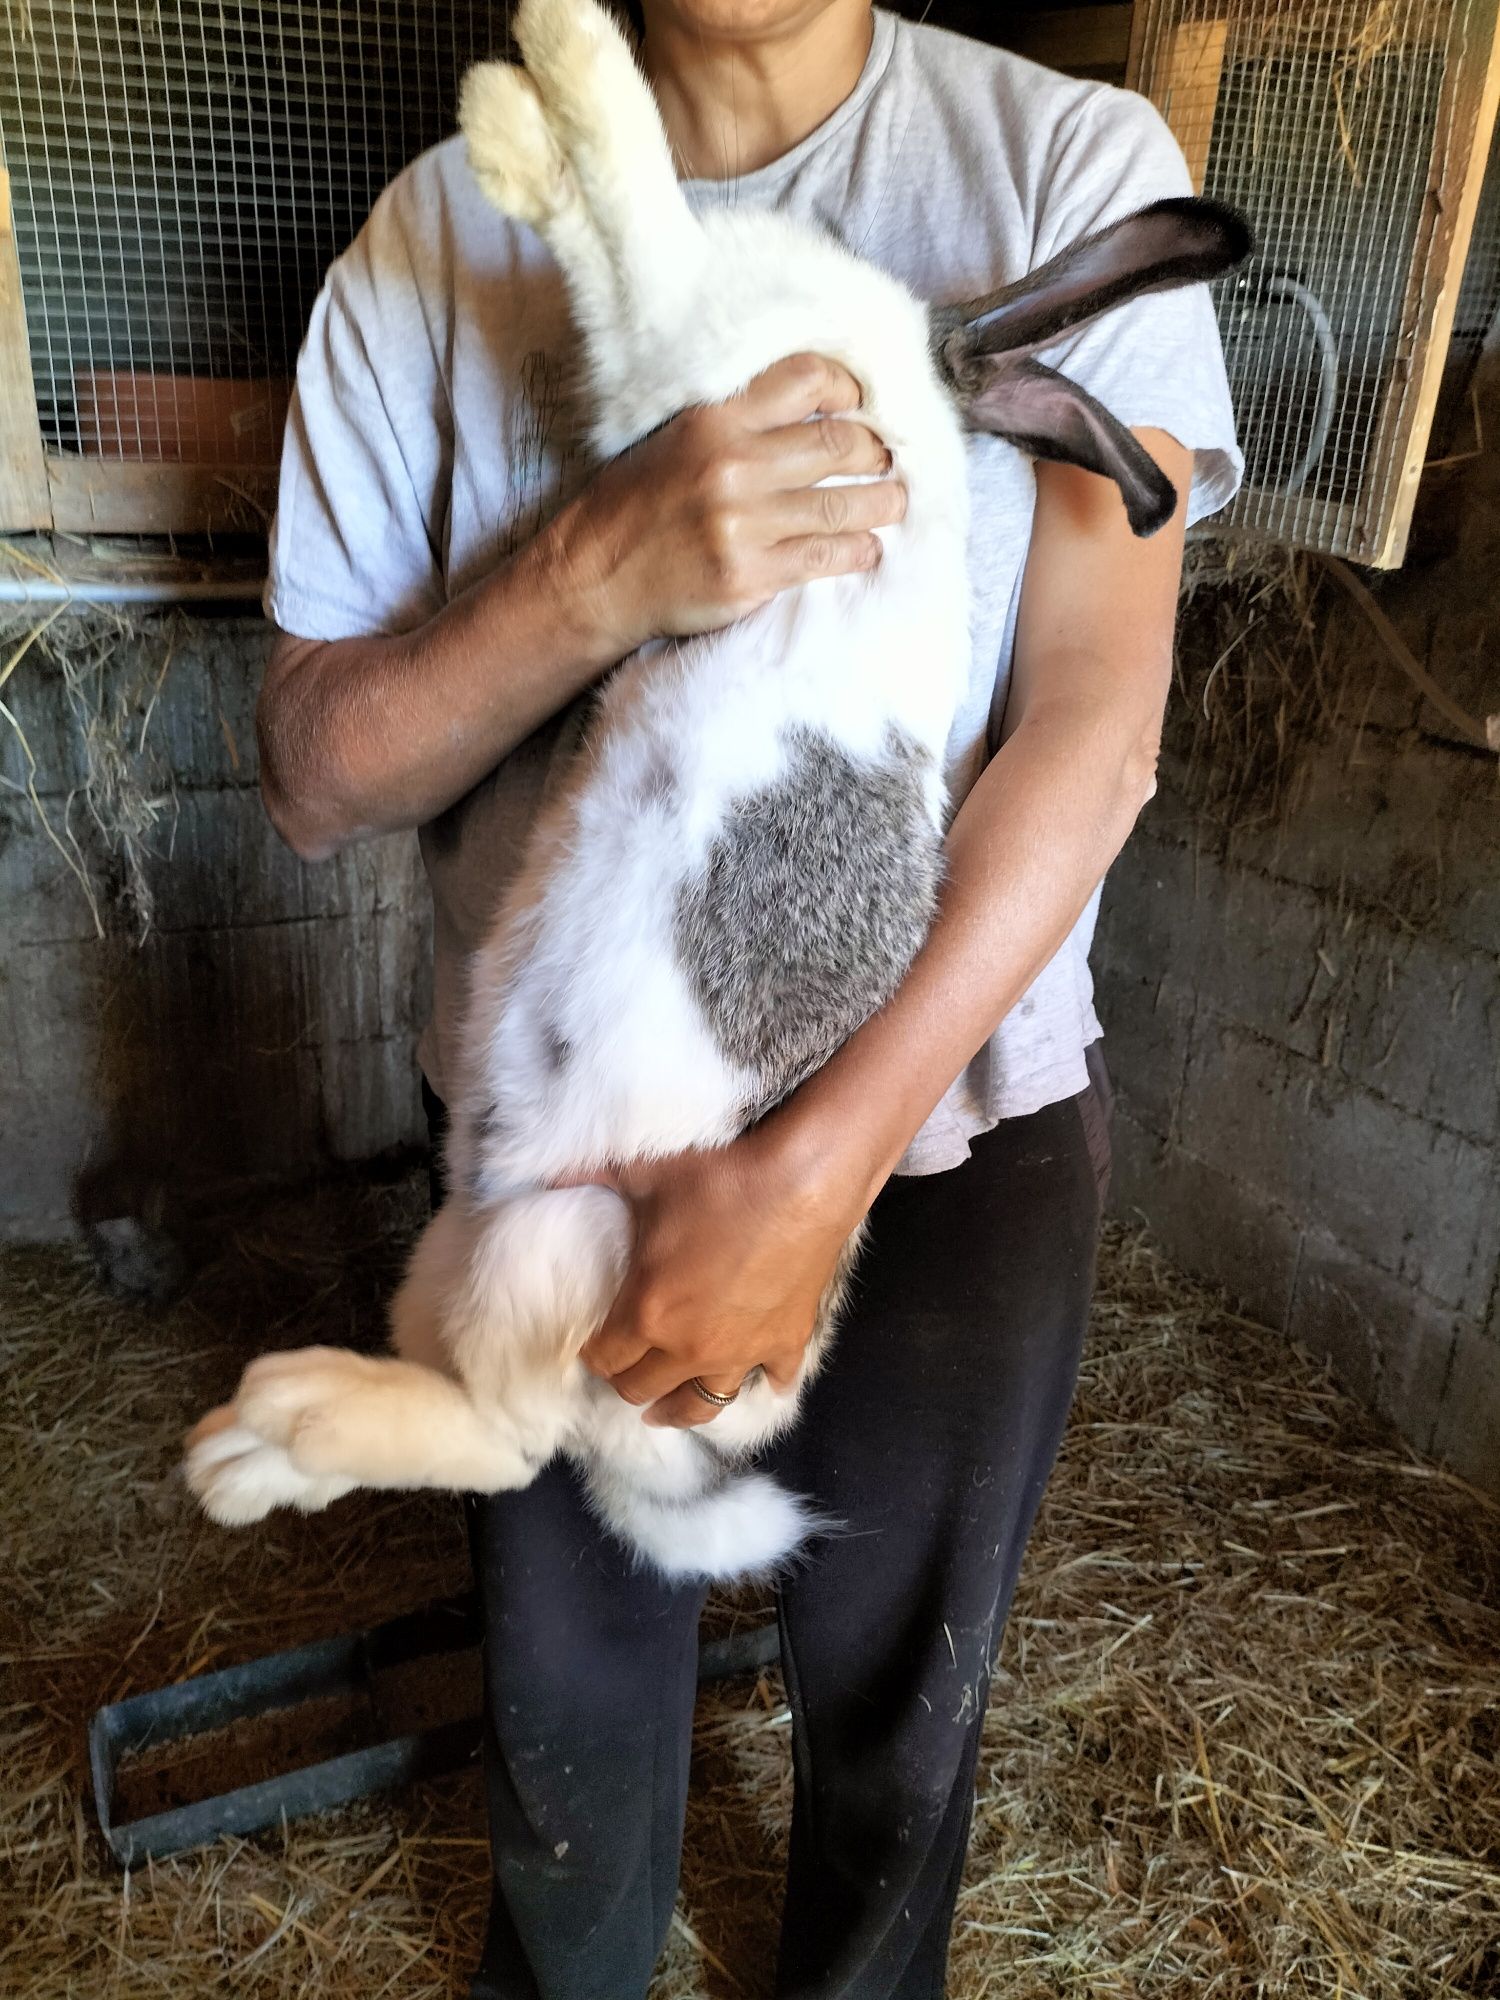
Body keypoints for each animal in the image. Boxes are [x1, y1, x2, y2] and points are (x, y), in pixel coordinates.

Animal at [185, 0, 1248, 1576]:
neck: (911, 387)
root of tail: (658, 1431)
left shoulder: (678, 339)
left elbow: (628, 198)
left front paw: (545, 67)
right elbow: (601, 224)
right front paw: (514, 125)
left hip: (558, 1246)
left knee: (507, 1437)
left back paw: (269, 1424)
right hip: (465, 1239)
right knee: (477, 1426)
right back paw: (255, 1453)